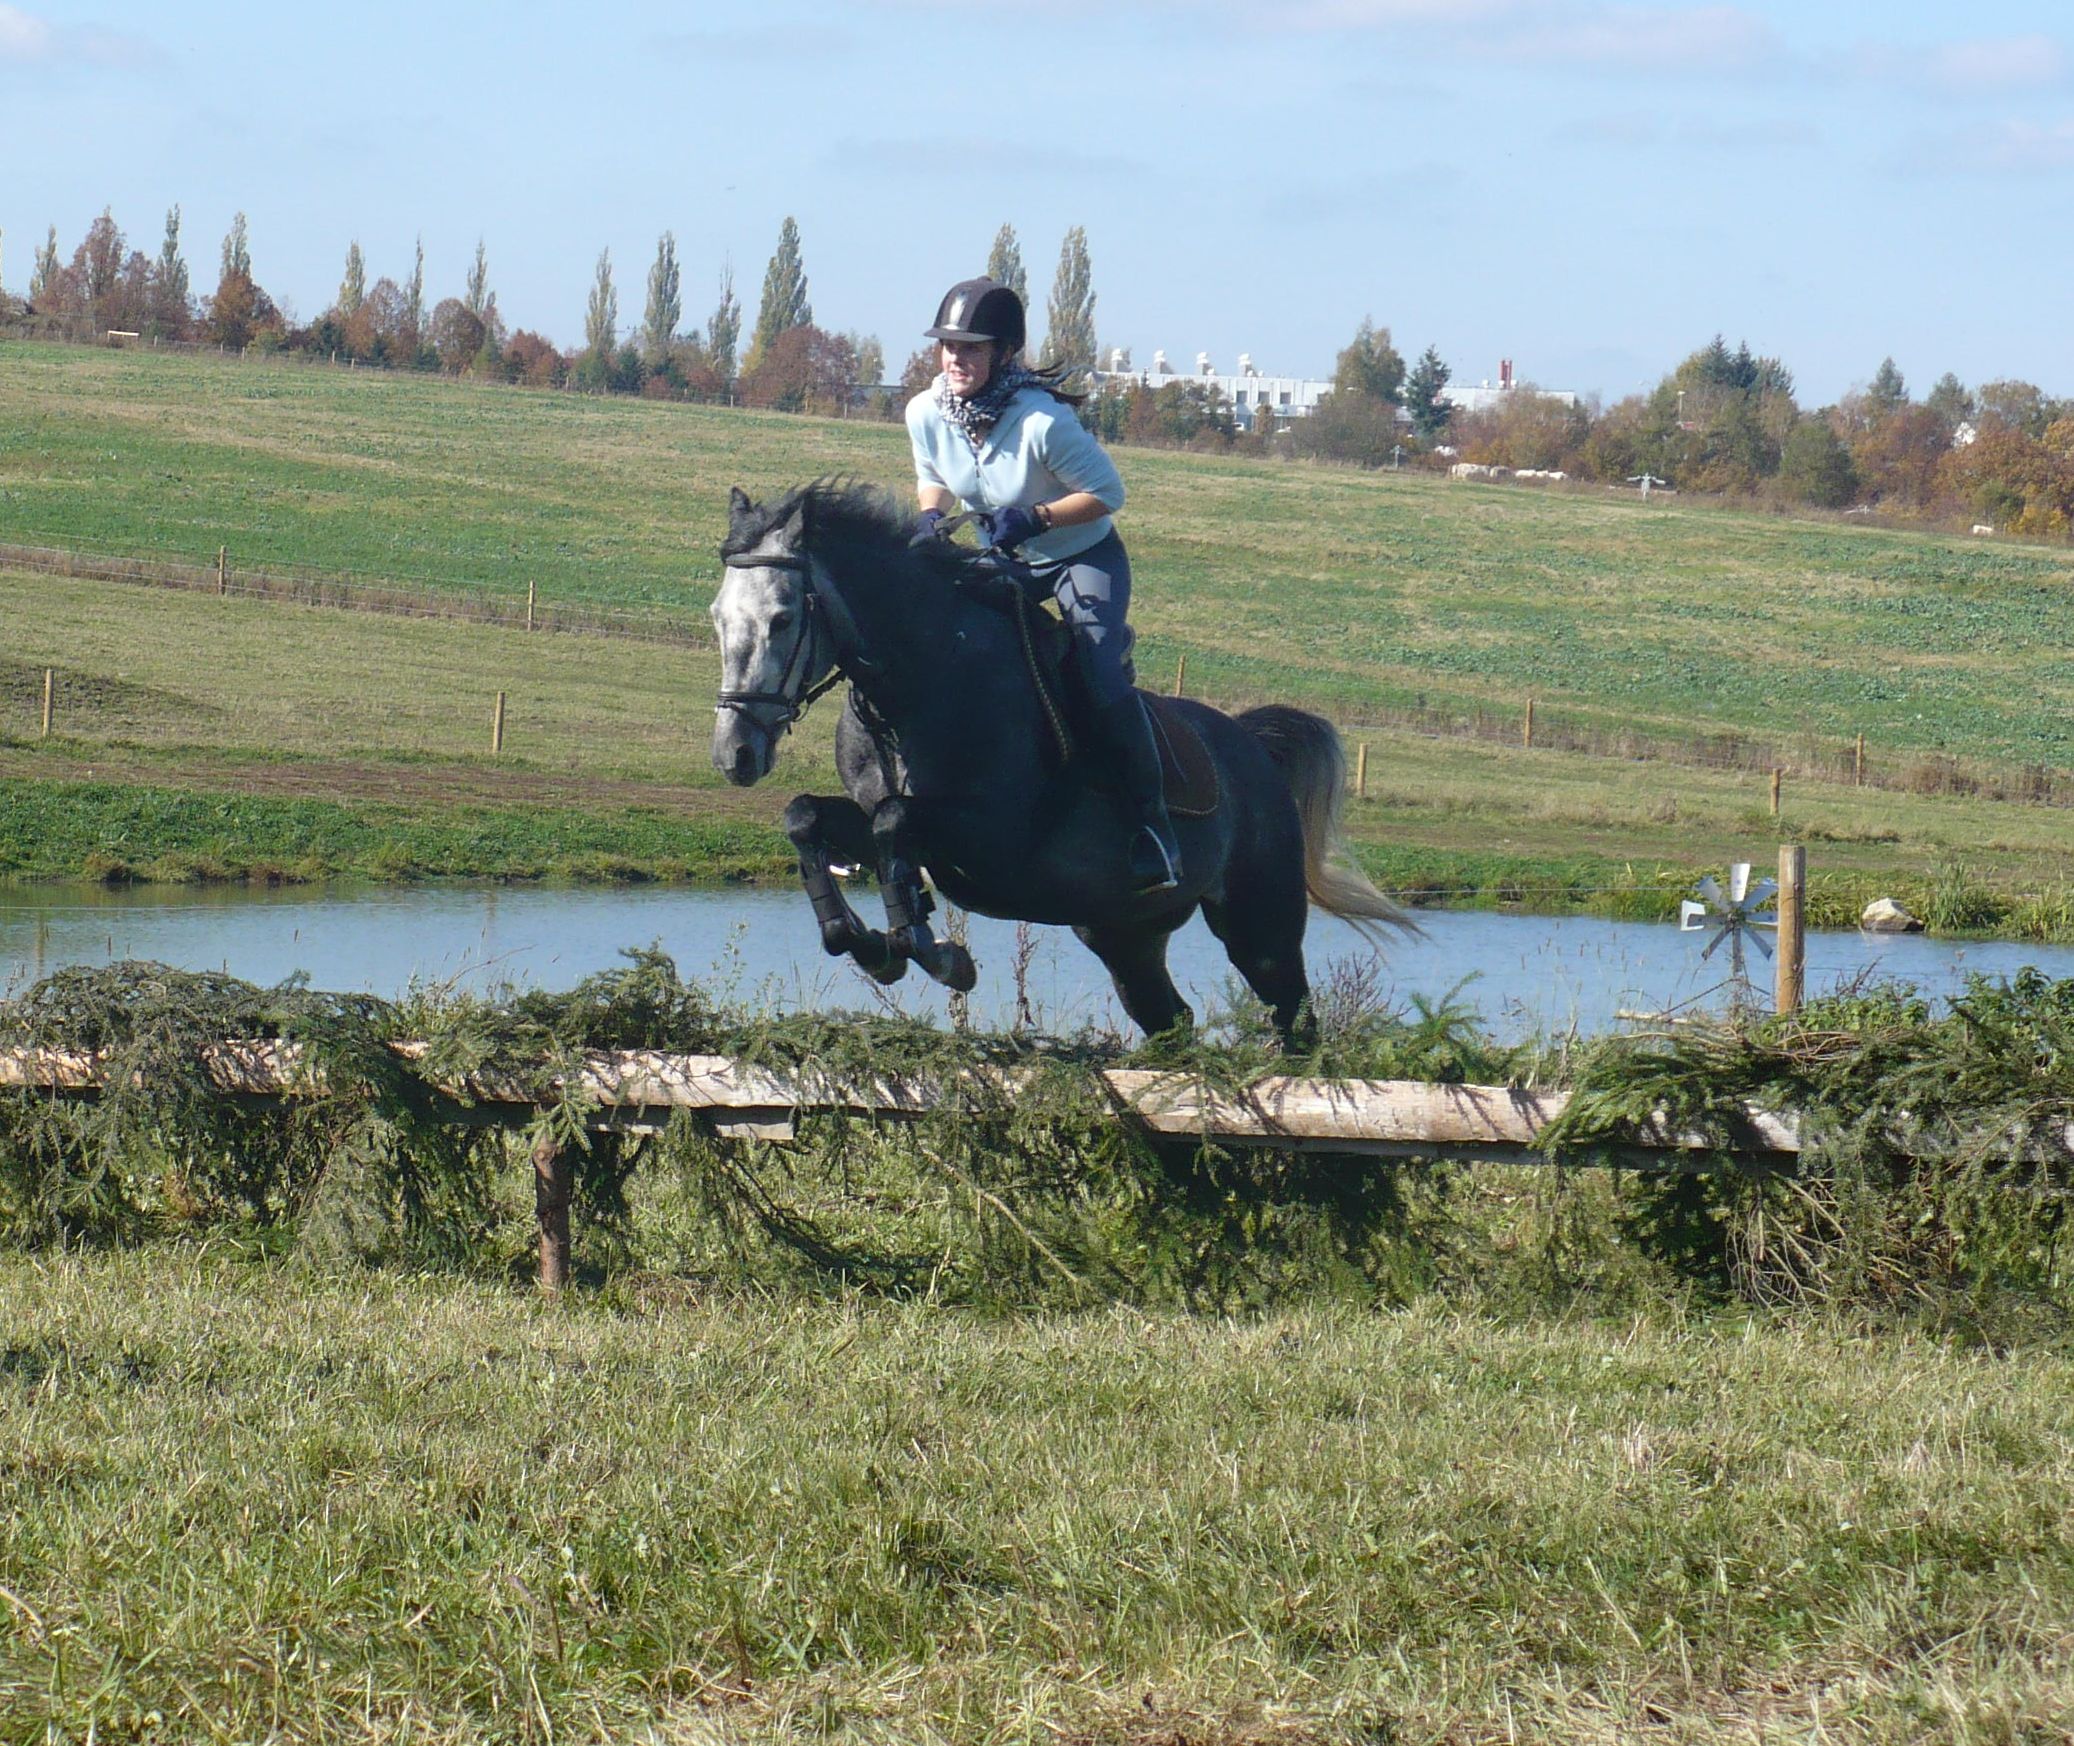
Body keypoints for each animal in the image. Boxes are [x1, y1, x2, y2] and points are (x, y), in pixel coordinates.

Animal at [709, 476, 1410, 1040]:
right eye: (717, 616)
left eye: (781, 618)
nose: (734, 754)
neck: (921, 685)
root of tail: (1249, 747)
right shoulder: (906, 823)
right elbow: (810, 818)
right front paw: (867, 943)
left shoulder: (997, 843)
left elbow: (893, 824)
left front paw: (936, 954)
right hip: (1123, 933)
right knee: (1172, 1019)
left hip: (1259, 924)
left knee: (1294, 1016)